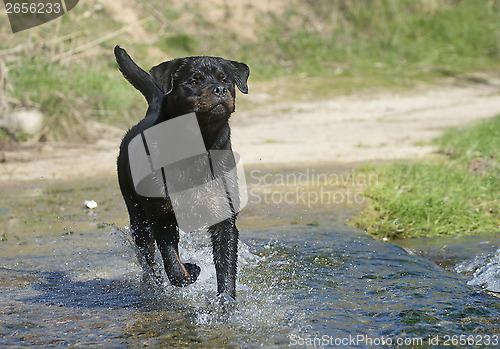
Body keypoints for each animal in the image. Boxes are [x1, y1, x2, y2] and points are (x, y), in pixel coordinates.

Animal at [114, 46, 249, 300]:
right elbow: (172, 263)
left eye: (224, 79)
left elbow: (226, 265)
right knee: (148, 258)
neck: (197, 146)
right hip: (137, 215)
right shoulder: (162, 215)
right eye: (193, 81)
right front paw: (190, 270)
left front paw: (226, 303)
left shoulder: (223, 215)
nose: (219, 89)